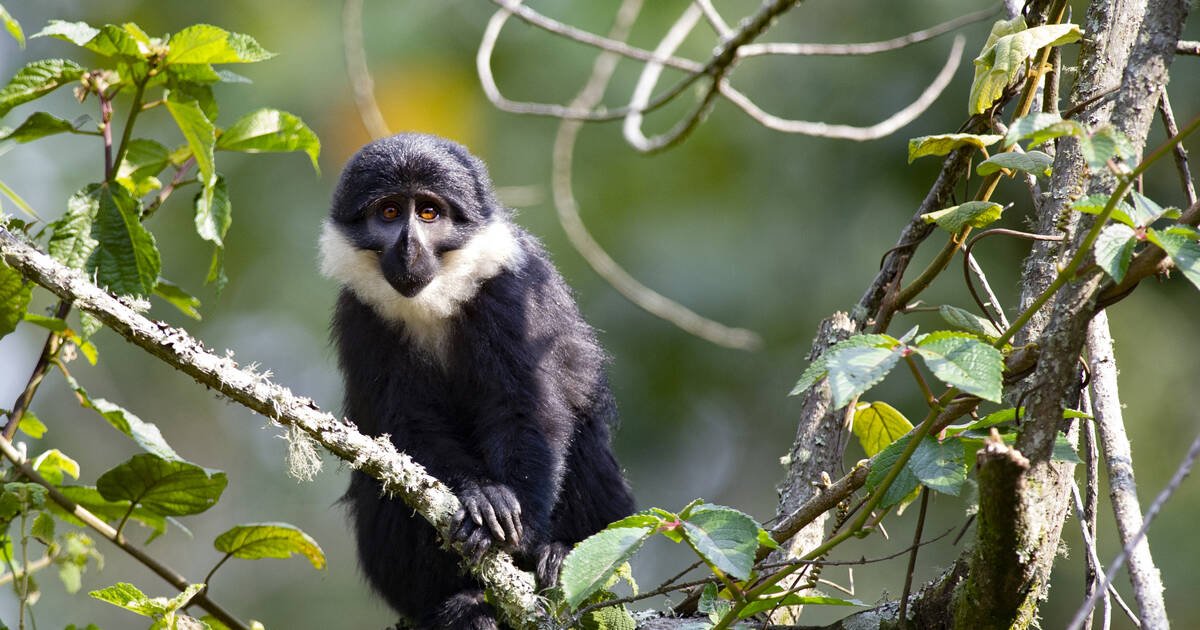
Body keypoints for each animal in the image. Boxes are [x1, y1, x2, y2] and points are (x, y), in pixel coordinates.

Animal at [319, 133, 635, 629]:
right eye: (389, 212)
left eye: (429, 213)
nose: (408, 248)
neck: (433, 300)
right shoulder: (361, 317)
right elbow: (405, 423)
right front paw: (481, 496)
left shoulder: (510, 292)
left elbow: (526, 405)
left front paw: (515, 528)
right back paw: (461, 602)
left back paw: (557, 556)